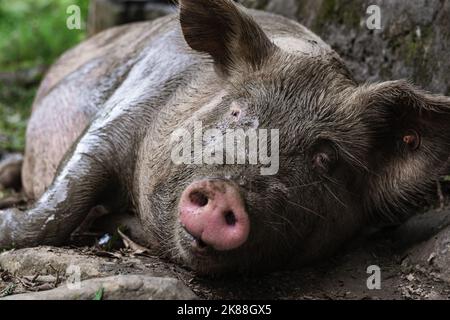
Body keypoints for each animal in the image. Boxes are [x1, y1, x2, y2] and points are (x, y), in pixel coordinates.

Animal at [0, 0, 450, 276]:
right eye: (236, 111)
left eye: (325, 157)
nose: (225, 192)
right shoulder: (125, 105)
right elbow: (69, 191)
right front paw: (7, 221)